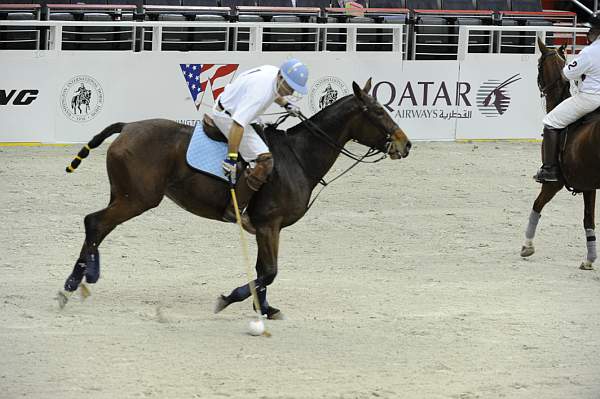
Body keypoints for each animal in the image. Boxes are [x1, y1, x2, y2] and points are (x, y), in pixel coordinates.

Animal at [57, 80, 412, 318]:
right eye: (377, 111)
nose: (405, 144)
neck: (299, 157)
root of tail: (128, 126)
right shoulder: (269, 223)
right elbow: (268, 271)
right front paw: (230, 298)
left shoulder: (268, 227)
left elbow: (263, 269)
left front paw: (264, 307)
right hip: (139, 198)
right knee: (95, 222)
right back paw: (73, 282)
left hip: (125, 194)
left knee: (99, 226)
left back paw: (87, 274)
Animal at [520, 39, 600, 270]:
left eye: (538, 65)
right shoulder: (588, 184)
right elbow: (588, 220)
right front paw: (589, 260)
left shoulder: (554, 182)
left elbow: (537, 204)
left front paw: (527, 246)